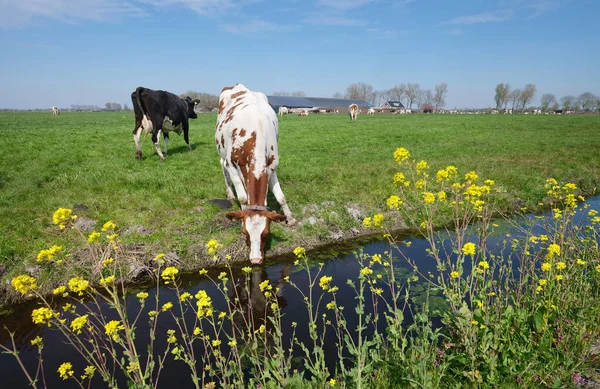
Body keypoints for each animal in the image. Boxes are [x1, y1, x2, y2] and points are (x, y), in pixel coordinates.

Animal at [216, 83, 296, 266]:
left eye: (265, 233)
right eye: (245, 233)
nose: (255, 260)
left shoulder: (272, 166)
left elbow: (281, 196)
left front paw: (290, 217)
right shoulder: (232, 164)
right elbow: (243, 198)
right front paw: (241, 212)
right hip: (222, 152)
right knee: (222, 165)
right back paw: (230, 193)